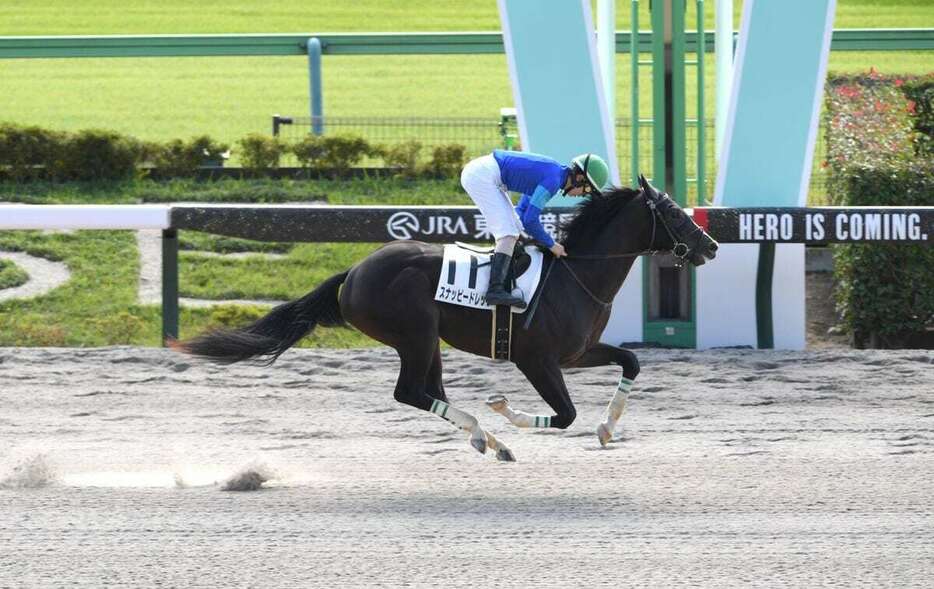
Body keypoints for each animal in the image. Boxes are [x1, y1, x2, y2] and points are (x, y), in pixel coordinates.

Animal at [172, 175, 720, 460]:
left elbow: (631, 363)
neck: (576, 273)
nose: (711, 245)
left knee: (427, 391)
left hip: (427, 339)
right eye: (674, 213)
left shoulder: (577, 352)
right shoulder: (536, 358)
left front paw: (607, 428)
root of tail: (354, 271)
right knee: (410, 392)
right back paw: (489, 433)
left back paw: (487, 438)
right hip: (414, 334)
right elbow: (564, 414)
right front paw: (506, 408)